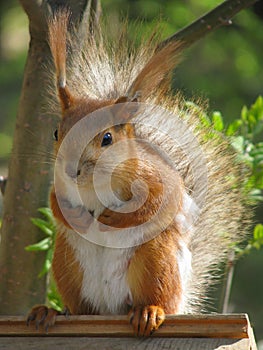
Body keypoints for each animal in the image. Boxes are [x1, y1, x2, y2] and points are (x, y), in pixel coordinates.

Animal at [27, 11, 252, 336]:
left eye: (107, 138)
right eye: (57, 132)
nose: (72, 169)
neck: (93, 185)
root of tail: (111, 309)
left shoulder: (158, 178)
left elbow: (158, 202)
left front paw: (114, 218)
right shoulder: (60, 186)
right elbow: (57, 205)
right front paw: (78, 217)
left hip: (155, 258)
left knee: (158, 299)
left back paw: (149, 312)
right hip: (67, 263)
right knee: (81, 308)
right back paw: (51, 312)